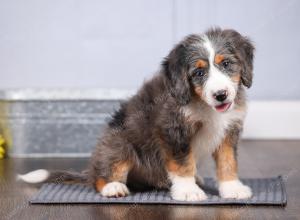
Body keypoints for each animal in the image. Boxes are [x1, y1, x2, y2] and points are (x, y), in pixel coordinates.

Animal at [18, 27, 253, 201]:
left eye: (226, 64)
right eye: (199, 72)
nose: (221, 95)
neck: (203, 105)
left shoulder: (229, 131)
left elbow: (228, 162)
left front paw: (232, 188)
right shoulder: (173, 130)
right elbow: (182, 163)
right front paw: (188, 191)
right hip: (119, 144)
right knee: (101, 176)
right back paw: (112, 187)